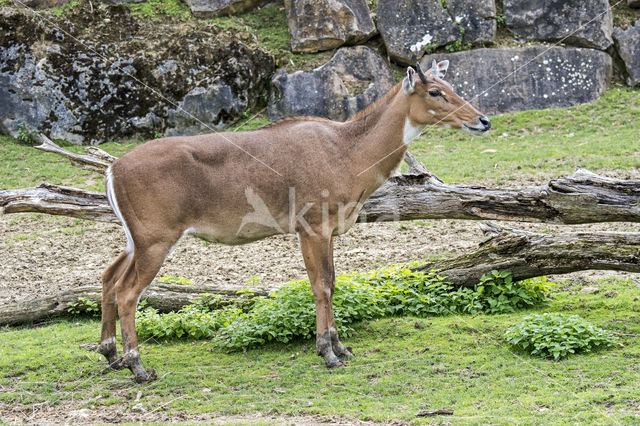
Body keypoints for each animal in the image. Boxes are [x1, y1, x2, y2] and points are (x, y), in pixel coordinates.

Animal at [99, 60, 490, 382]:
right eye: (434, 91)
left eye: (451, 83)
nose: (483, 120)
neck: (350, 152)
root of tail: (112, 169)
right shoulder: (311, 227)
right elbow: (321, 285)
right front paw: (328, 353)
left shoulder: (329, 230)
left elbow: (332, 281)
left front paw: (341, 346)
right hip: (157, 238)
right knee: (128, 290)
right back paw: (138, 367)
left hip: (136, 240)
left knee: (108, 276)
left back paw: (110, 354)